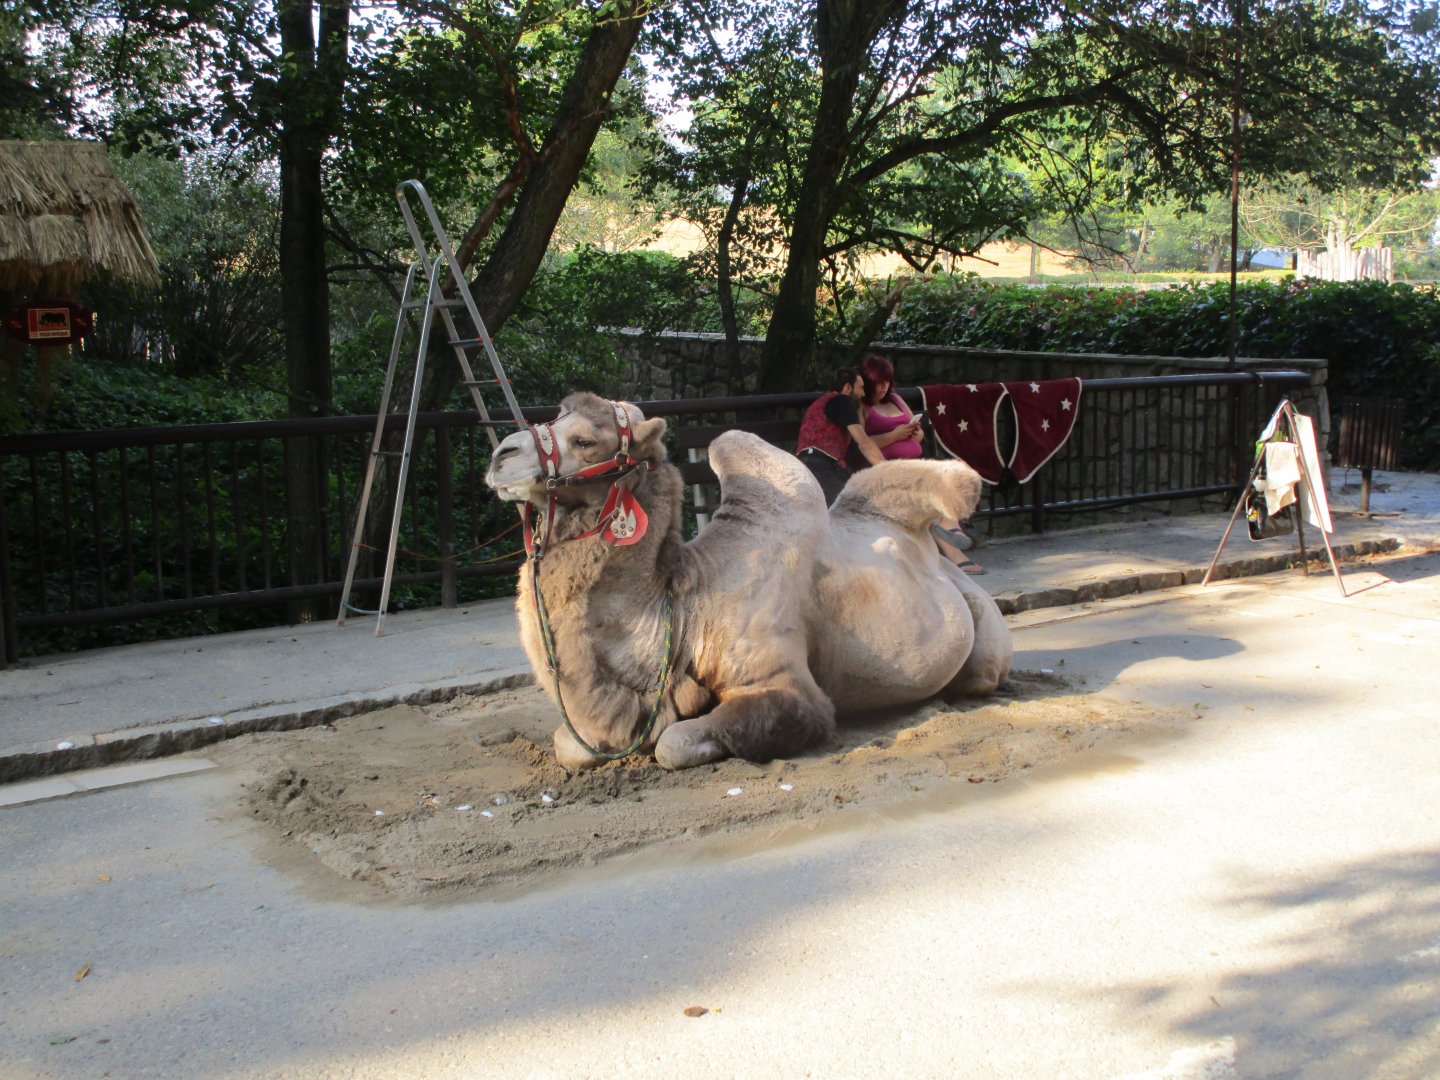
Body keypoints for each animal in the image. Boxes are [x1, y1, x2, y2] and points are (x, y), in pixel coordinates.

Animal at [484, 392, 1013, 771]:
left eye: (585, 441)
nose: (499, 455)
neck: (685, 606)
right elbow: (569, 744)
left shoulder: (784, 684)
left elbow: (674, 743)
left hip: (983, 636)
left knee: (980, 675)